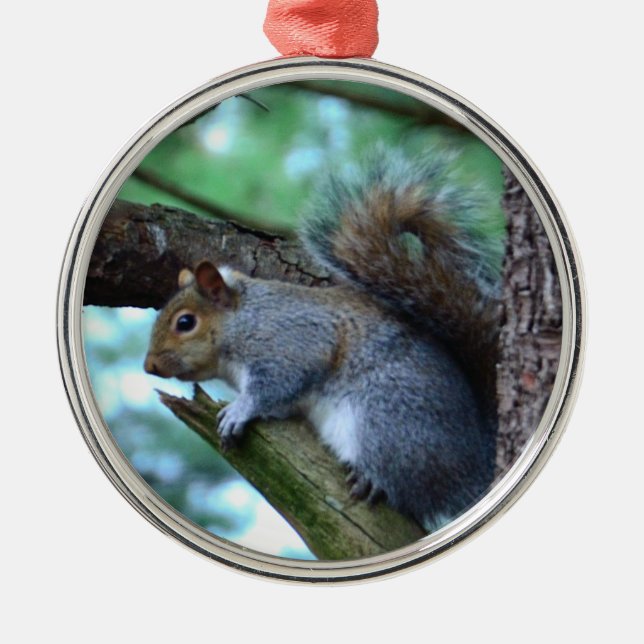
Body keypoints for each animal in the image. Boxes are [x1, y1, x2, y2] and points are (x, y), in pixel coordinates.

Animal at [144, 149, 502, 532]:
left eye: (185, 322)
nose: (148, 366)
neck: (243, 319)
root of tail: (475, 466)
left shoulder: (292, 343)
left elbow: (276, 386)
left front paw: (240, 410)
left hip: (388, 420)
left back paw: (373, 480)